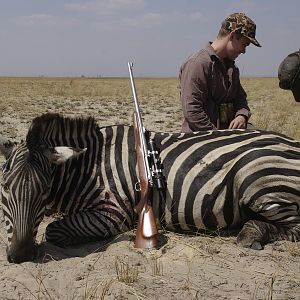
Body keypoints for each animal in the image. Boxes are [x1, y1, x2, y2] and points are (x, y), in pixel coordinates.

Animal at [0, 112, 300, 262]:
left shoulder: (112, 213)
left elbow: (53, 230)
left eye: (42, 192)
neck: (88, 167)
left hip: (256, 179)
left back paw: (251, 233)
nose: (20, 256)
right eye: (4, 188)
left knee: (294, 227)